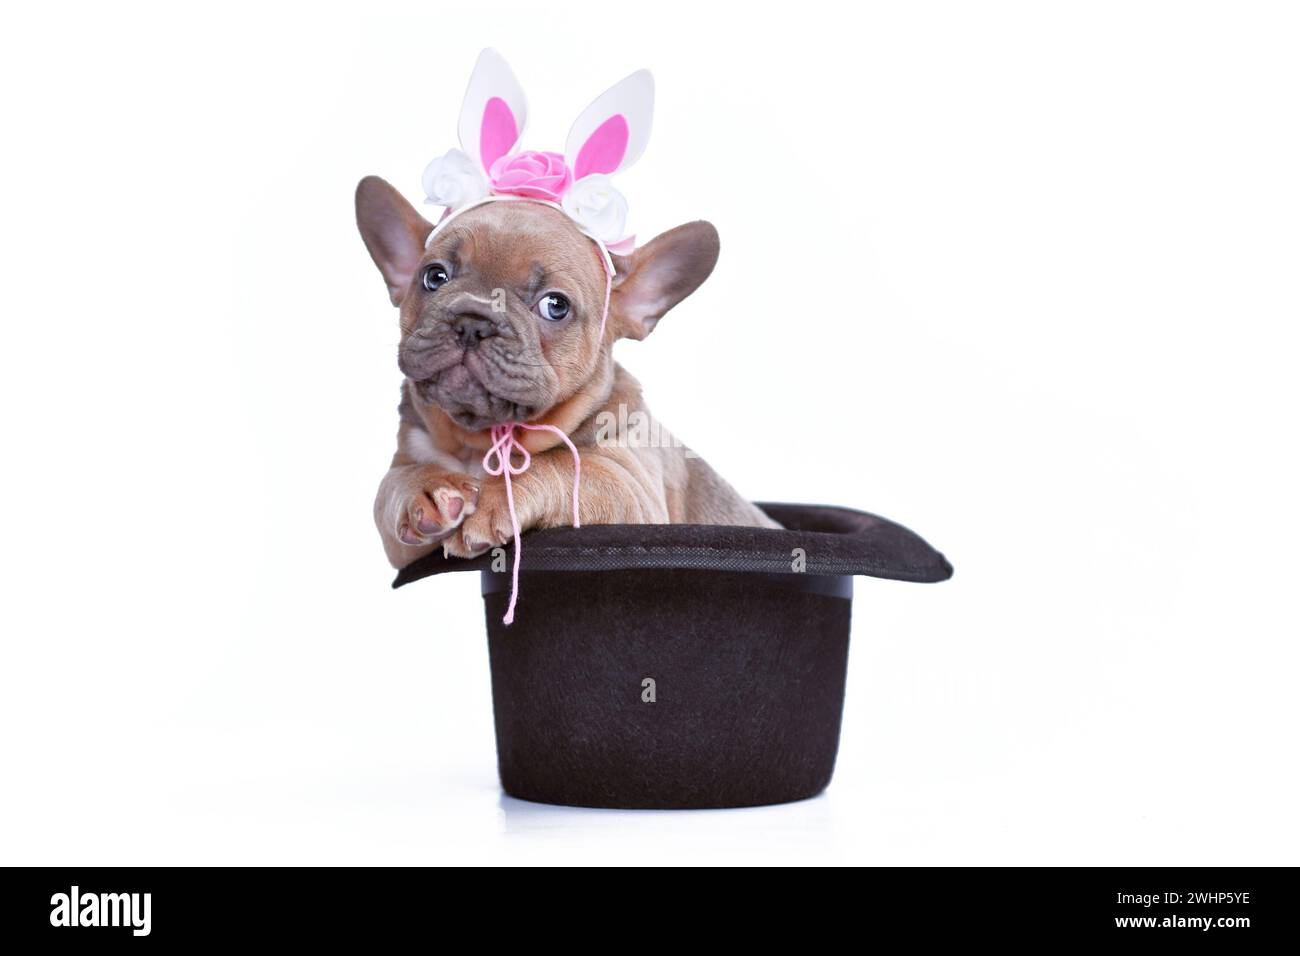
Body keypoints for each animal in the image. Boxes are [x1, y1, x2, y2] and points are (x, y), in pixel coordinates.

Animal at [356, 175, 774, 567]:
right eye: (434, 277)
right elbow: (388, 488)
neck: (483, 439)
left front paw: (501, 495)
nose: (473, 321)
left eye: (555, 306)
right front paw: (425, 488)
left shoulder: (630, 487)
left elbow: (554, 464)